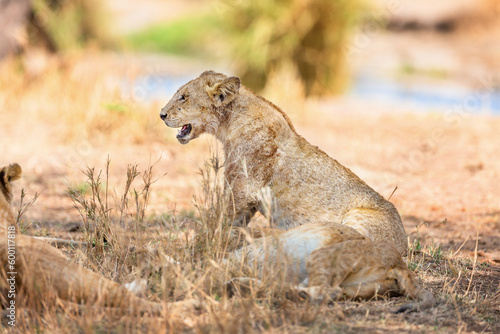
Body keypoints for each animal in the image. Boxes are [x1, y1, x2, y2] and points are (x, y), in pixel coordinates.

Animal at [161, 70, 410, 256]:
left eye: (184, 97)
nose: (161, 114)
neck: (228, 123)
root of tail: (404, 247)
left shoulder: (243, 190)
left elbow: (221, 222)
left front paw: (203, 247)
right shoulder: (247, 197)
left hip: (359, 218)